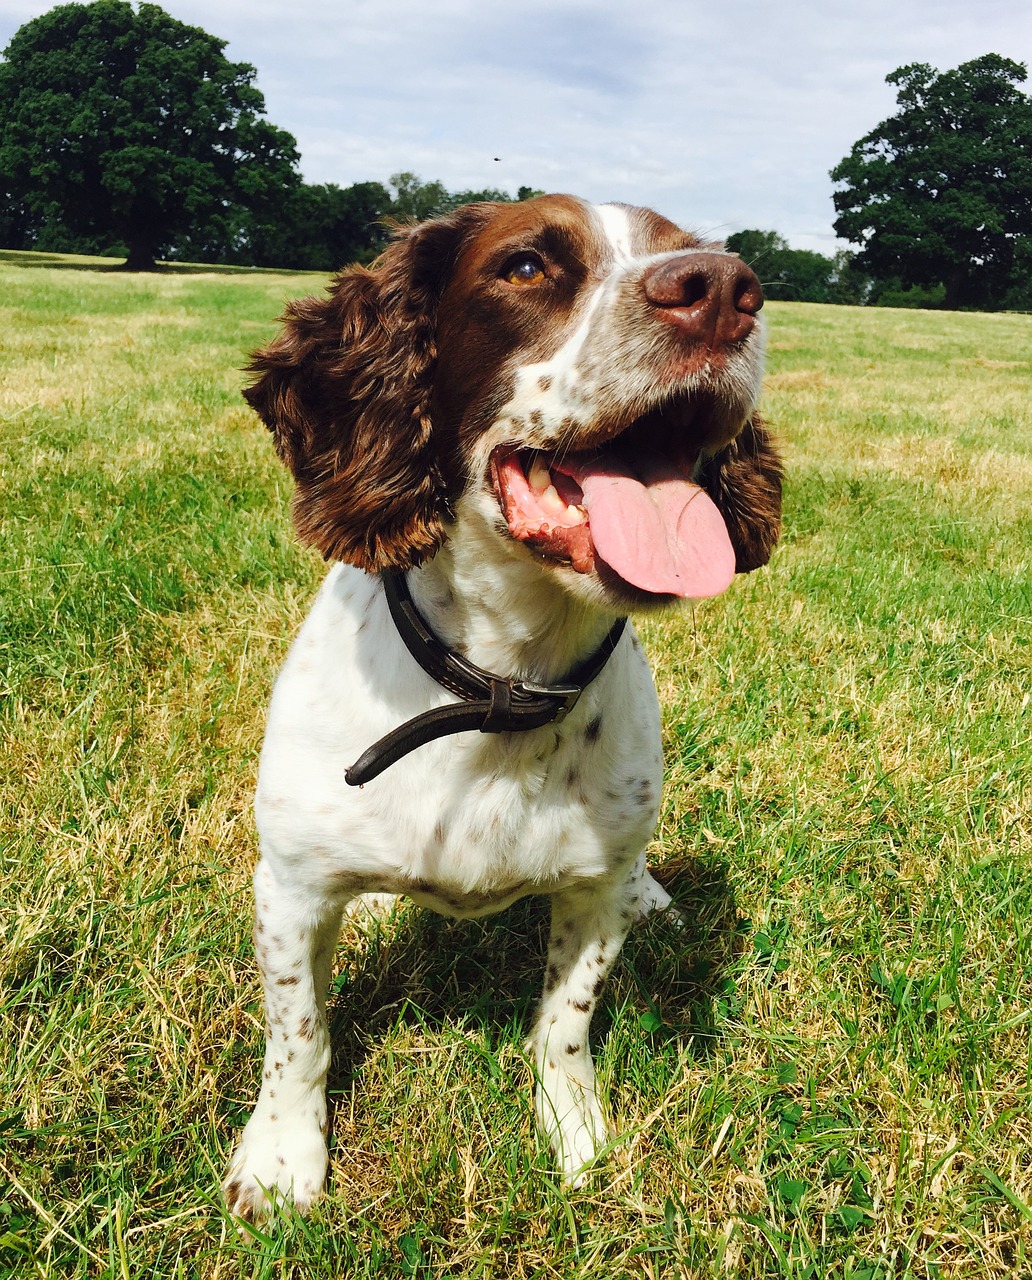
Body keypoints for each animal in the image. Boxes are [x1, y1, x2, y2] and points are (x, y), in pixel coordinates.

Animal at [222, 192, 778, 1218]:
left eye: (696, 250)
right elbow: (299, 1036)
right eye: (524, 267)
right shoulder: (290, 890)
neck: (493, 691)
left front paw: (576, 1132)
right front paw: (282, 1159)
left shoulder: (591, 893)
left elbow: (565, 1024)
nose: (725, 290)